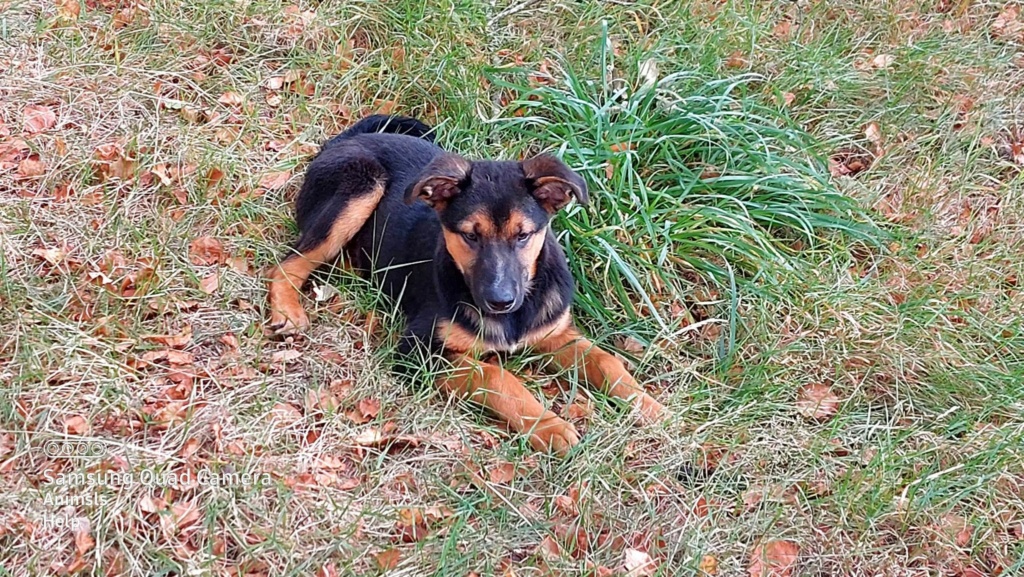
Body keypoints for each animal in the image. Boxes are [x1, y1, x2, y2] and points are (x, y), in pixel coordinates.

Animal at [268, 114, 663, 457]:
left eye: (523, 235)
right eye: (470, 236)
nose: (500, 301)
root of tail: (345, 140)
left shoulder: (556, 334)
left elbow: (607, 361)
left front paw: (649, 407)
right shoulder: (417, 353)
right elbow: (496, 376)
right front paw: (548, 426)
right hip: (362, 186)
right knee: (287, 264)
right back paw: (287, 310)